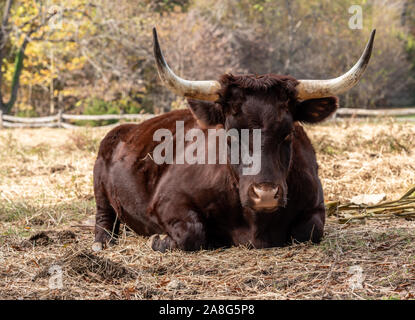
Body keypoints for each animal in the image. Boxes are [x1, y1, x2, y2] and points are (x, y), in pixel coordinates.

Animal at [92, 28, 376, 252]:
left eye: (288, 132)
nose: (265, 194)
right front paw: (160, 239)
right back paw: (102, 242)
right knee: (104, 219)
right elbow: (192, 232)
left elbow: (310, 231)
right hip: (100, 187)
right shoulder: (168, 200)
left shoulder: (316, 206)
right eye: (231, 133)